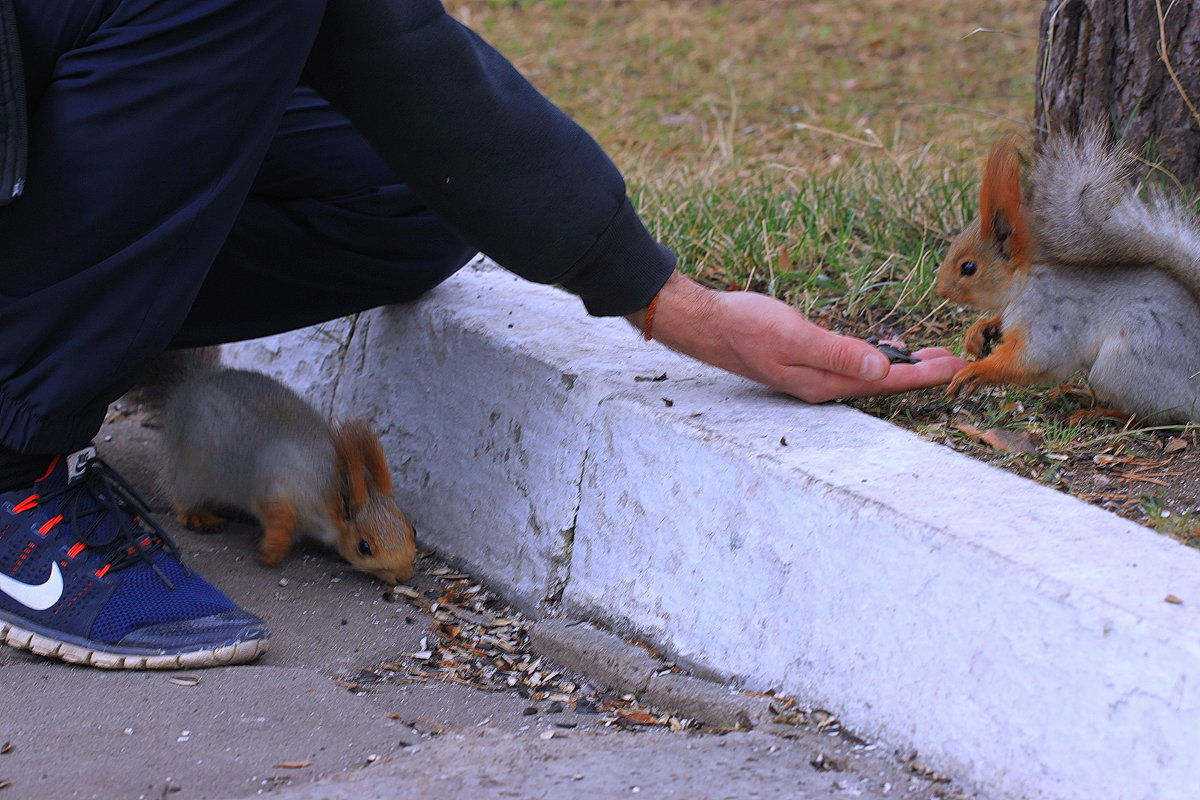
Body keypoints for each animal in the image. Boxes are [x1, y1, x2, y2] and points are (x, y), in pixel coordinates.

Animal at [150, 352, 417, 585]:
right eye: (364, 547)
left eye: (413, 530)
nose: (403, 577)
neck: (330, 491)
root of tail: (187, 386)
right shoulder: (277, 485)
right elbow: (278, 516)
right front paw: (272, 550)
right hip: (190, 468)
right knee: (183, 495)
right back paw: (197, 515)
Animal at [931, 128, 1200, 422]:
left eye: (968, 268)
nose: (941, 291)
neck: (1025, 281)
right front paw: (979, 332)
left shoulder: (1049, 315)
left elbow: (1035, 359)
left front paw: (975, 372)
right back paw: (1077, 394)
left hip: (1123, 365)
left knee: (1150, 415)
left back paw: (1097, 412)